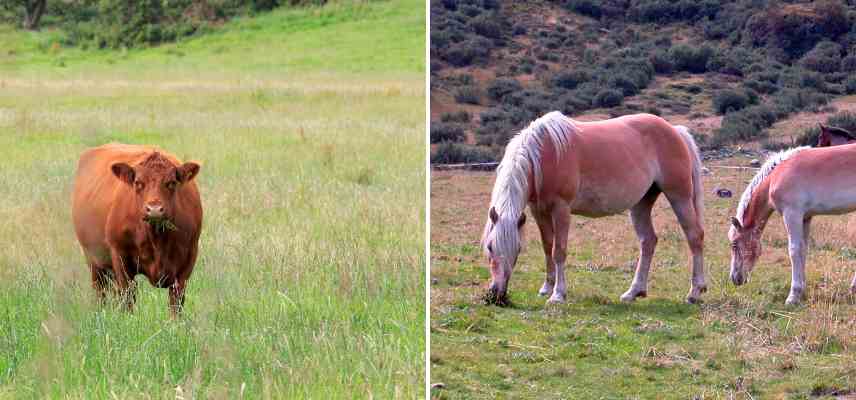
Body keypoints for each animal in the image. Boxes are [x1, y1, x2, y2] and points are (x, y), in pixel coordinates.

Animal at [71, 144, 203, 316]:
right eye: (138, 183)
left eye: (171, 183)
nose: (154, 209)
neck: (157, 239)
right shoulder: (120, 256)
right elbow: (128, 297)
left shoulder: (188, 259)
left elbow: (176, 301)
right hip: (94, 261)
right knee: (101, 291)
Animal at [478, 111, 704, 304]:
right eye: (490, 247)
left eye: (517, 248)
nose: (496, 294)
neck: (544, 155)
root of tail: (675, 130)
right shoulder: (538, 210)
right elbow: (547, 246)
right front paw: (546, 288)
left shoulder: (561, 209)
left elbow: (558, 250)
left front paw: (558, 294)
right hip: (641, 204)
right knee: (648, 241)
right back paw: (634, 292)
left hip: (679, 197)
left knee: (694, 237)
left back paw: (694, 292)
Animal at [724, 144, 856, 304]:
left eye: (734, 245)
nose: (735, 278)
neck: (775, 177)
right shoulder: (805, 217)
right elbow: (803, 249)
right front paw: (802, 291)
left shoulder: (792, 214)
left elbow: (794, 250)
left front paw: (793, 296)